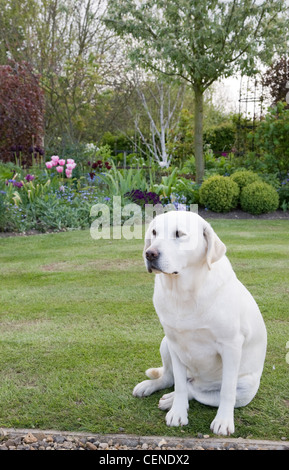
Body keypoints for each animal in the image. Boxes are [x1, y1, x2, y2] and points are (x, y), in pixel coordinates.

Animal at [132, 211, 266, 436]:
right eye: (154, 232)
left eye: (179, 234)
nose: (149, 254)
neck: (182, 293)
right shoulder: (174, 343)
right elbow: (178, 382)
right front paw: (177, 412)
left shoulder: (231, 346)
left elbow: (226, 391)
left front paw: (223, 421)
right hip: (164, 343)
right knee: (172, 379)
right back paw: (152, 387)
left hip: (246, 387)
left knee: (198, 392)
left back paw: (171, 399)